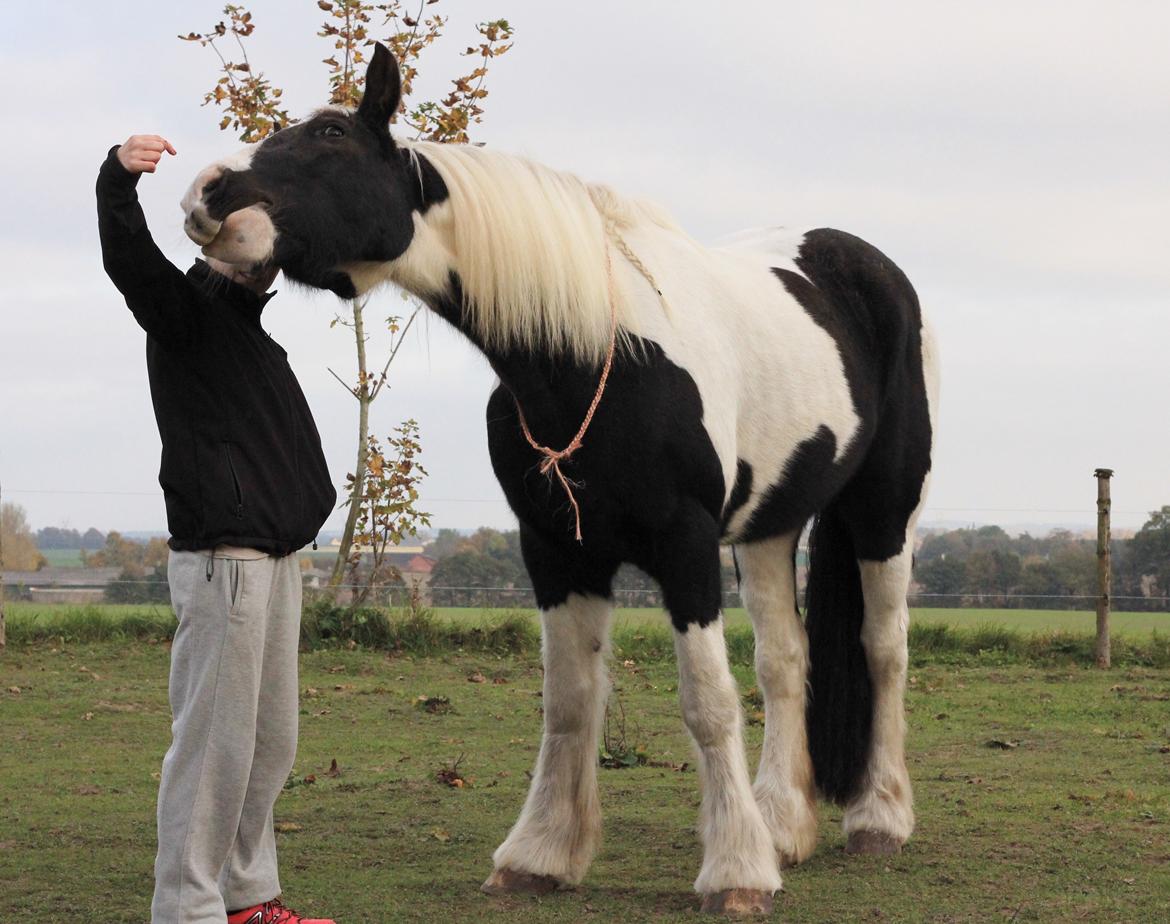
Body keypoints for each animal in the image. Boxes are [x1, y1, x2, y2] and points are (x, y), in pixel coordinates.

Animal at [177, 45, 935, 916]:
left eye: (330, 135)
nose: (206, 196)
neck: (593, 347)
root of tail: (866, 264)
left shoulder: (685, 547)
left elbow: (707, 702)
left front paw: (735, 874)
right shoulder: (556, 551)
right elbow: (570, 701)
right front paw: (540, 855)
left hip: (885, 513)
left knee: (884, 649)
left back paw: (878, 819)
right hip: (771, 529)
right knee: (784, 660)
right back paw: (782, 827)